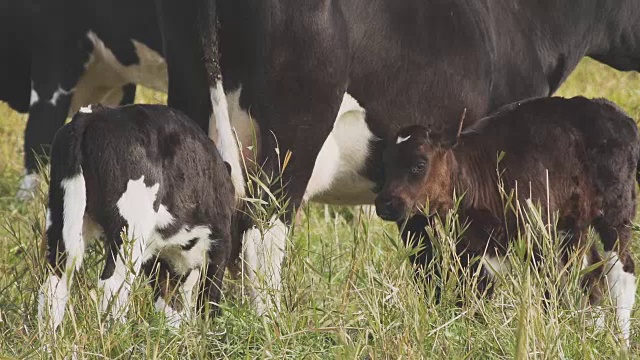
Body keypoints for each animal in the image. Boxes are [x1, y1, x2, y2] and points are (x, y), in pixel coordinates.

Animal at [35, 103, 235, 330]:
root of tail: (96, 114)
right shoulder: (220, 241)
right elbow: (209, 299)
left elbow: (167, 303)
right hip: (130, 230)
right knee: (111, 285)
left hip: (62, 219)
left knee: (53, 284)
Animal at [376, 96, 640, 346]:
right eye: (385, 164)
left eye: (419, 164)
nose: (385, 203)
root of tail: (613, 112)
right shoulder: (473, 251)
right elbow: (474, 299)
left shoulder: (540, 239)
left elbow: (550, 292)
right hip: (575, 227)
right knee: (591, 277)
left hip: (616, 214)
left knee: (621, 272)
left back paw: (621, 342)